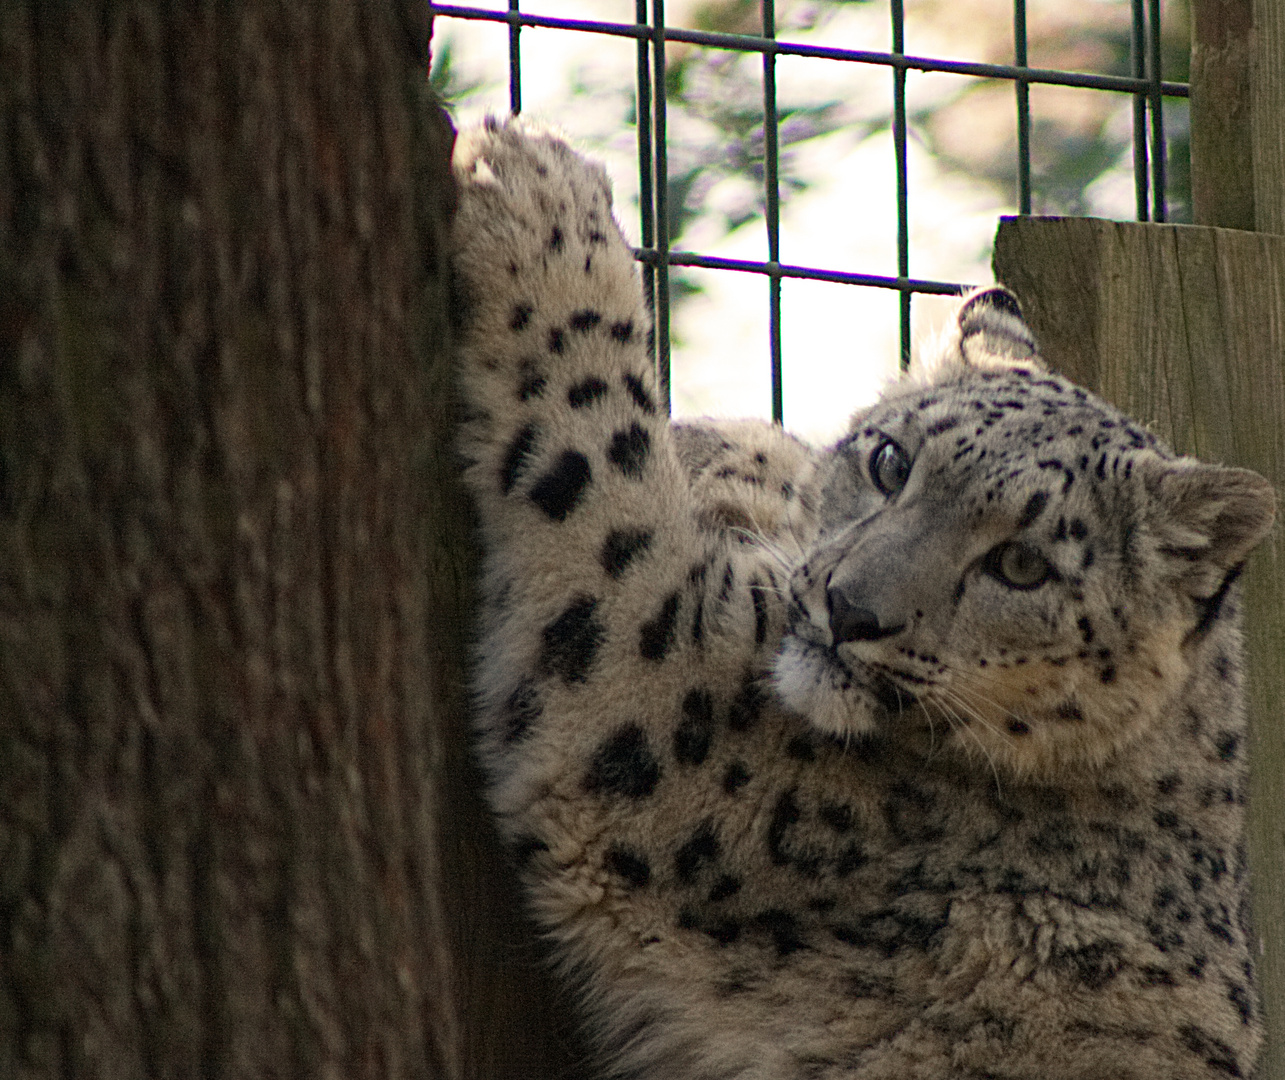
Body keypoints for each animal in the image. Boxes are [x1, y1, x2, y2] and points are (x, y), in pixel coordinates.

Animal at [452, 118, 1274, 1080]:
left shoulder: (668, 695)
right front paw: (733, 454)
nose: (850, 610)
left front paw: (529, 183)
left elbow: (606, 452)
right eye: (889, 461)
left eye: (1022, 566)